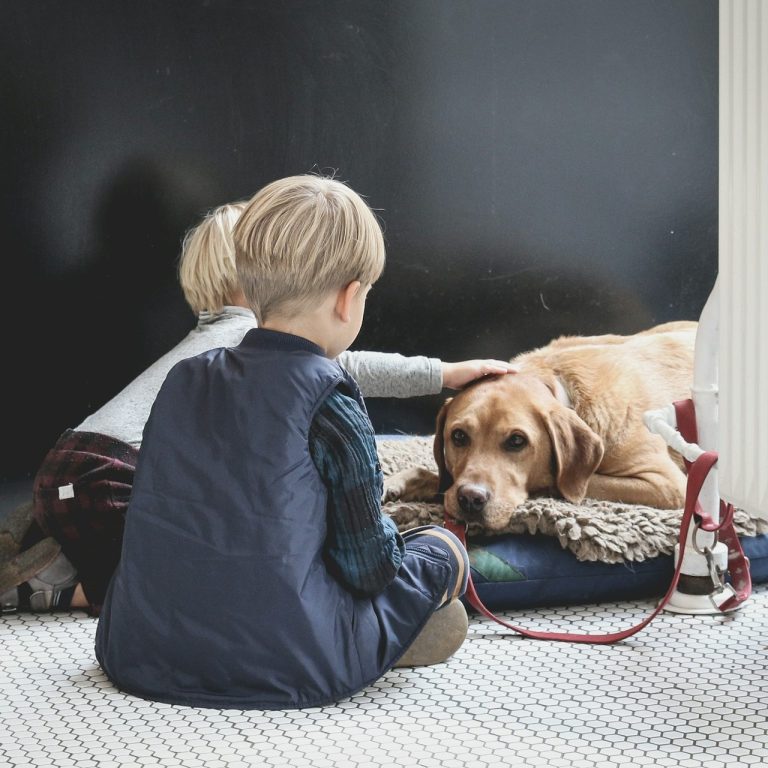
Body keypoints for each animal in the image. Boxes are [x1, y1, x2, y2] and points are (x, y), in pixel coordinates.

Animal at [384, 320, 696, 532]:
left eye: (517, 441)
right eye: (458, 436)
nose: (470, 499)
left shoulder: (668, 484)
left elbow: (559, 482)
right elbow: (441, 477)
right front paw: (400, 483)